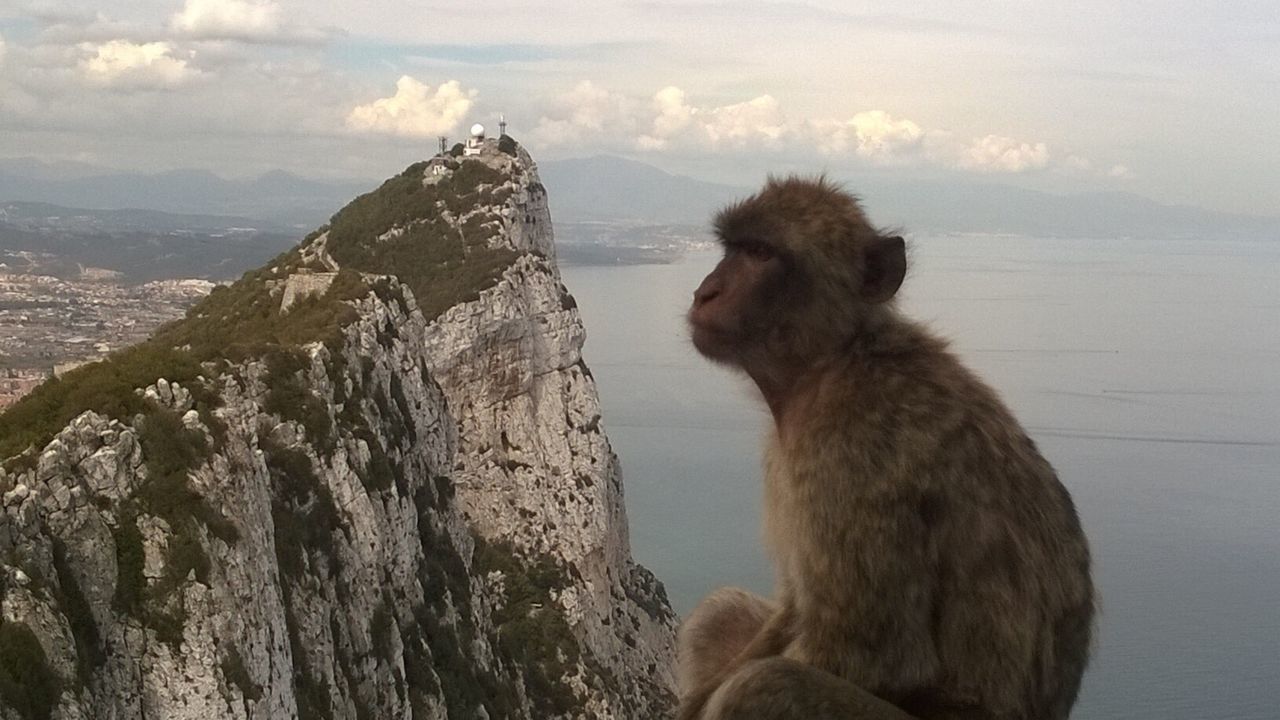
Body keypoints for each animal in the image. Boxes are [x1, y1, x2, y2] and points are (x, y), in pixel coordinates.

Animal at [680, 175, 1090, 717]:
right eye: (733, 248)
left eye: (762, 253)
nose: (706, 291)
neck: (834, 361)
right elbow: (793, 608)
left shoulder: (852, 452)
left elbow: (874, 656)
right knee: (720, 616)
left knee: (765, 686)